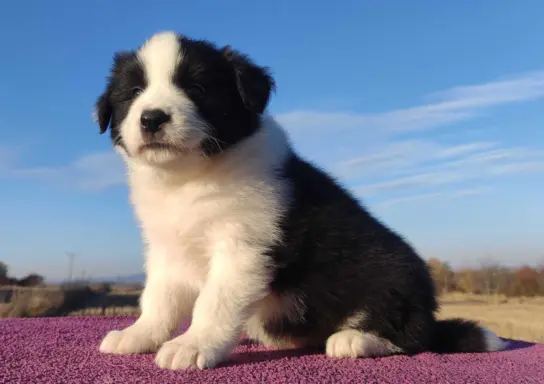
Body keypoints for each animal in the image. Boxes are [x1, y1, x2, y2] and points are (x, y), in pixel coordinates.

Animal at [94, 32, 506, 368]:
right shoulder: (167, 249)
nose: (152, 118)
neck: (189, 177)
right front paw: (138, 335)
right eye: (132, 94)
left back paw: (355, 339)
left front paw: (192, 345)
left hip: (390, 275)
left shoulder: (243, 248)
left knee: (412, 336)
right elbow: (158, 299)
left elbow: (214, 302)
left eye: (197, 89)